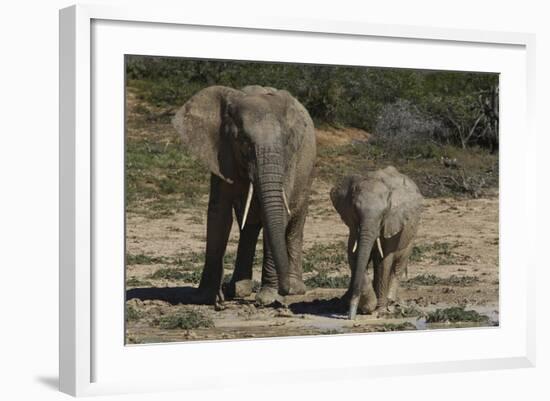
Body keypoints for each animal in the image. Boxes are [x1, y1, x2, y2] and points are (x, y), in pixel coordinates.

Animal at [172, 83, 320, 304]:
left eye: (286, 142)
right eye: (243, 140)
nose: (282, 292)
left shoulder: (289, 160)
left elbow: (279, 214)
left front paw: (267, 298)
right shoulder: (221, 153)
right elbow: (219, 214)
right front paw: (206, 296)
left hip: (308, 170)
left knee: (295, 219)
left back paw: (294, 289)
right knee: (249, 224)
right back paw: (238, 290)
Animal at [330, 166, 424, 318]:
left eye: (384, 213)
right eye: (355, 209)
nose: (351, 316)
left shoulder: (392, 223)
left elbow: (384, 260)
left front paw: (378, 310)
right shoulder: (353, 225)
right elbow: (354, 256)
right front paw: (359, 306)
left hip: (412, 232)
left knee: (399, 264)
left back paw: (391, 302)